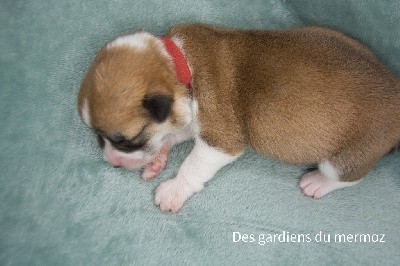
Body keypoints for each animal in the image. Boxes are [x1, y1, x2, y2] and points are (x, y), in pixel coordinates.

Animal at [77, 24, 400, 212]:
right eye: (98, 137)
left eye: (125, 141)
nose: (112, 163)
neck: (179, 63)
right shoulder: (190, 120)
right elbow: (170, 135)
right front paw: (157, 160)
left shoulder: (220, 140)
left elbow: (193, 165)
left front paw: (174, 190)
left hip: (346, 158)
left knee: (349, 178)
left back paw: (317, 182)